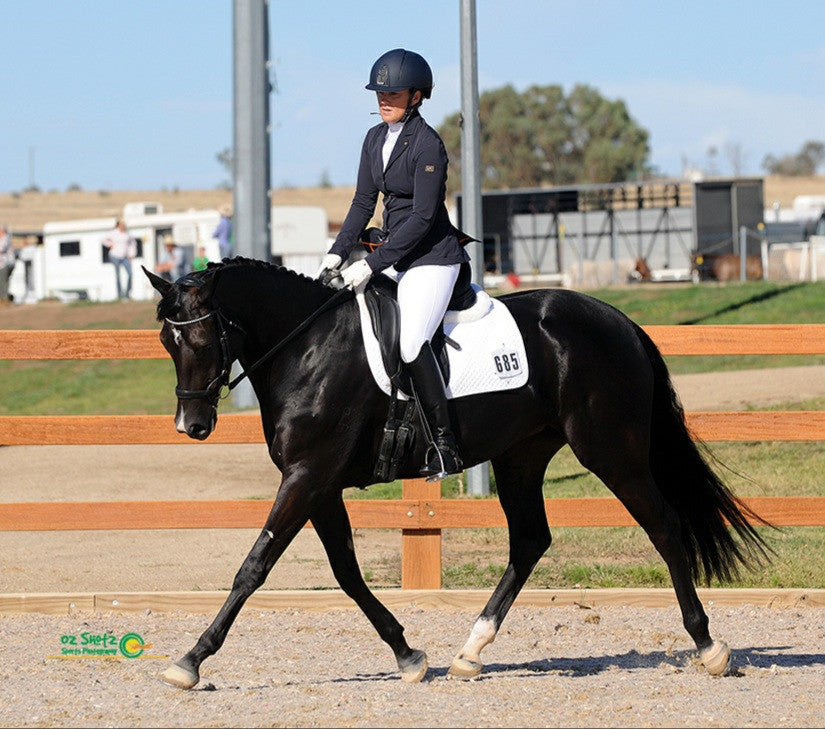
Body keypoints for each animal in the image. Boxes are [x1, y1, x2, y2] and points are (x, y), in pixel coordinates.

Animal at [143, 257, 770, 689]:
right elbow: (345, 573)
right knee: (530, 540)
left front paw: (191, 660)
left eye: (201, 336)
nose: (190, 425)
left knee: (663, 524)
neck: (309, 348)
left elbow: (255, 566)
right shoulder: (318, 484)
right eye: (167, 340)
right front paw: (407, 654)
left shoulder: (307, 476)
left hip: (610, 450)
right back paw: (471, 651)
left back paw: (708, 645)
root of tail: (621, 322)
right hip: (522, 457)